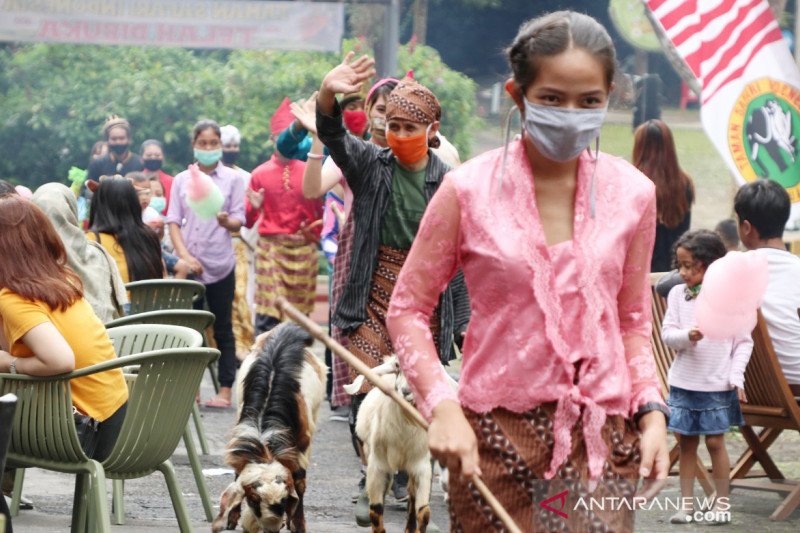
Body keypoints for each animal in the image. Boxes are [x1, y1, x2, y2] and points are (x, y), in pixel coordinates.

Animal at [212, 322, 328, 532]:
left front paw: (298, 524)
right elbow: (237, 474)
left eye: (284, 500)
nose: (271, 527)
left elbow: (300, 482)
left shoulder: (303, 444)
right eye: (253, 499)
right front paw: (232, 518)